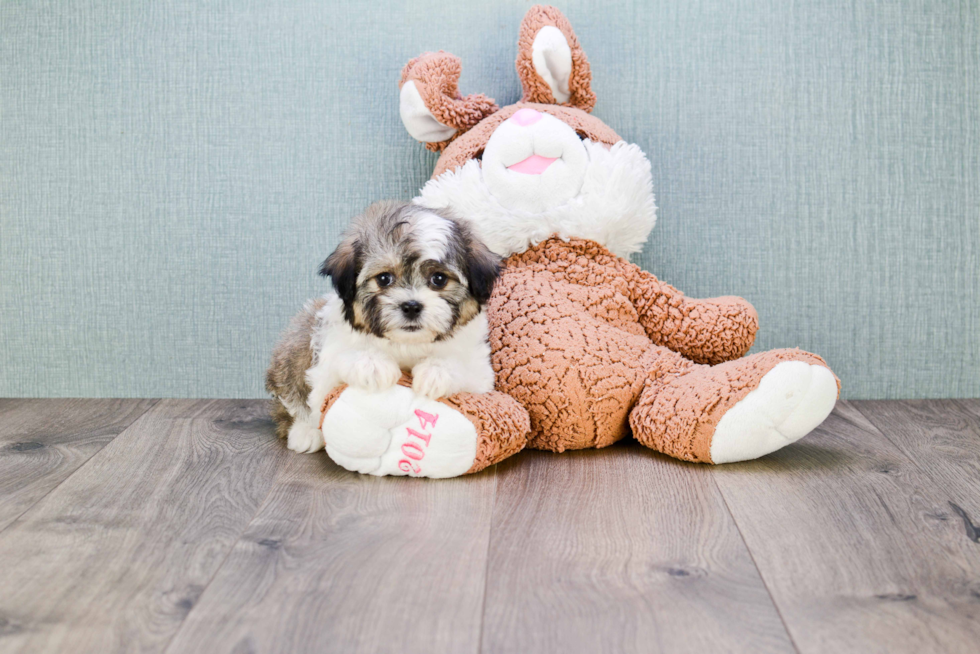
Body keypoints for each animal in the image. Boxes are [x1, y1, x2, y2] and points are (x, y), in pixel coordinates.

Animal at [266, 202, 502, 454]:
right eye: (384, 279)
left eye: (439, 279)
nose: (411, 306)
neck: (406, 344)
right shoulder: (327, 351)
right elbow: (340, 359)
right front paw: (372, 365)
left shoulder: (480, 371)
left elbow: (463, 366)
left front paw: (436, 372)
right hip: (296, 342)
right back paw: (305, 432)